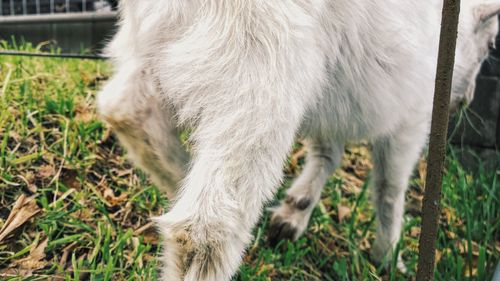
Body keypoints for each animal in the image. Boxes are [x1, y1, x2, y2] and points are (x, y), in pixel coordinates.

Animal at [96, 1, 500, 278]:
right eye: (489, 43)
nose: (467, 99)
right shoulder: (410, 118)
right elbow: (390, 188)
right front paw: (389, 256)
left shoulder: (331, 104)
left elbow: (327, 153)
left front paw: (294, 213)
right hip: (258, 73)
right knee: (203, 229)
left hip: (150, 44)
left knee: (125, 109)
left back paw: (182, 176)